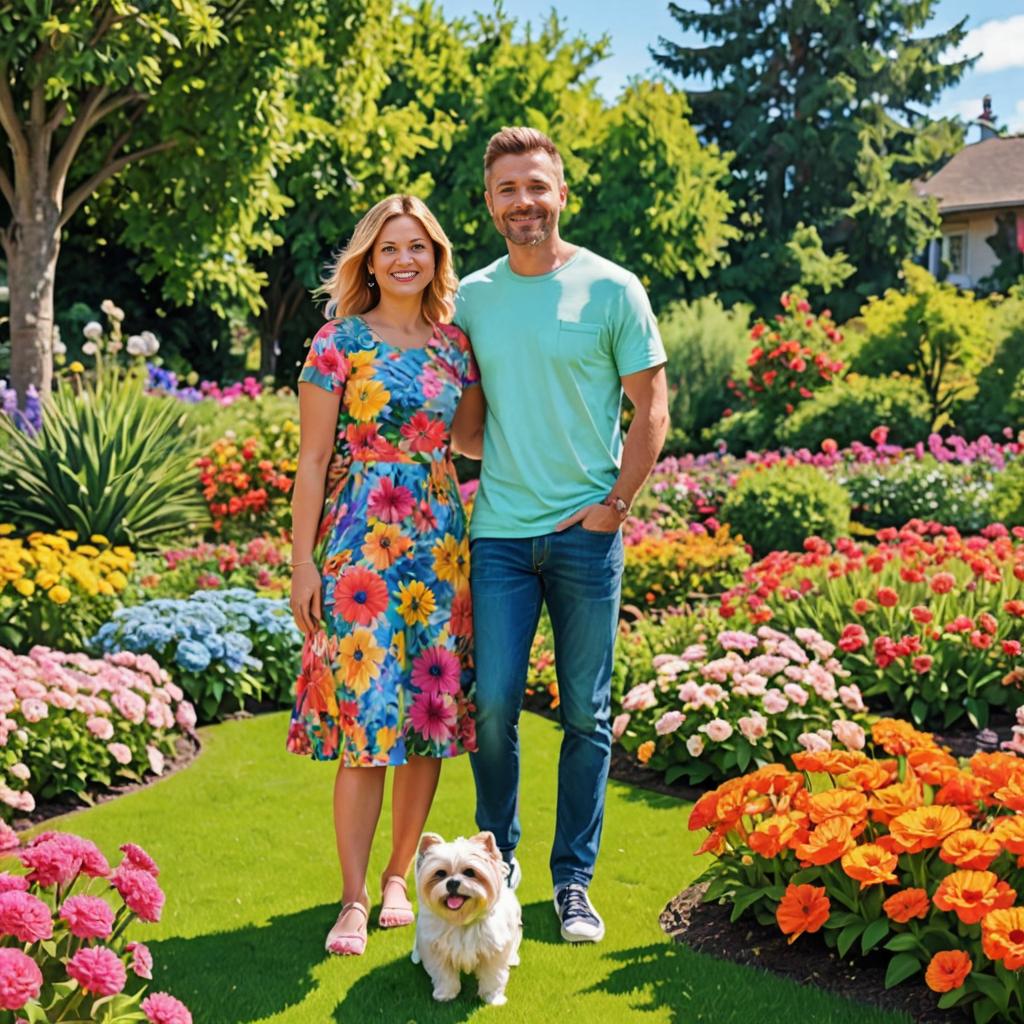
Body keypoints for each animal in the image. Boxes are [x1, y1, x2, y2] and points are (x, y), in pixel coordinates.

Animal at [409, 827, 520, 1003]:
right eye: (440, 873)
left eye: (470, 872)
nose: (452, 882)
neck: (462, 919)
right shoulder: (438, 951)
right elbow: (444, 975)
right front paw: (445, 994)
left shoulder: (493, 951)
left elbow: (493, 976)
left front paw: (493, 998)